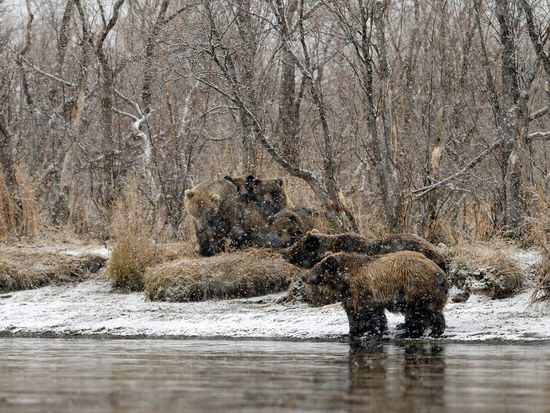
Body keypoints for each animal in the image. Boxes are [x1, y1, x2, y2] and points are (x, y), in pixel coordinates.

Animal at [304, 251, 450, 338]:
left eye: (317, 267)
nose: (304, 276)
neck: (344, 280)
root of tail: (441, 272)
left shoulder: (362, 291)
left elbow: (364, 312)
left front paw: (364, 331)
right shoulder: (356, 294)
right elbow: (363, 312)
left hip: (416, 288)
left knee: (420, 312)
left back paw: (425, 332)